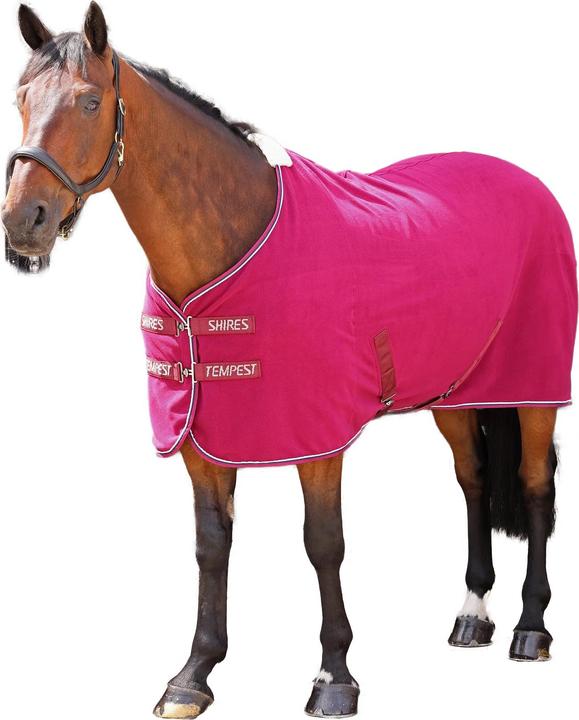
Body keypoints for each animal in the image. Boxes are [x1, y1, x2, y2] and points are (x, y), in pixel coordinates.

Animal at [3, 4, 577, 719]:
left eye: (88, 101)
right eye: (22, 100)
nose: (23, 222)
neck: (232, 240)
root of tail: (528, 181)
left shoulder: (317, 438)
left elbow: (323, 544)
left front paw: (335, 676)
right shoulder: (201, 439)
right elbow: (211, 546)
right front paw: (194, 674)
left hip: (534, 387)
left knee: (533, 486)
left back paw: (531, 628)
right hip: (453, 393)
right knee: (472, 482)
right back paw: (472, 615)